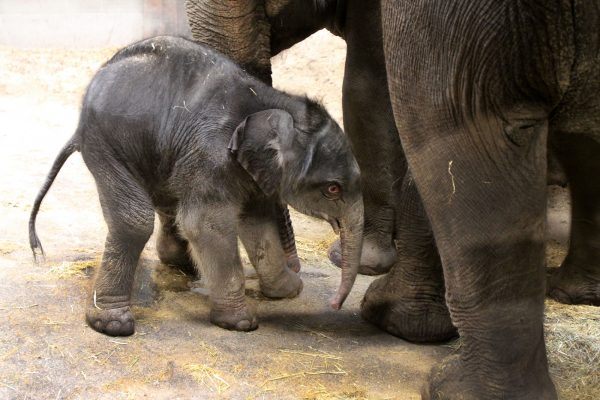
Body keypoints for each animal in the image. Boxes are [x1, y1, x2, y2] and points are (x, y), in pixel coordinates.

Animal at [30, 36, 364, 336]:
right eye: (333, 189)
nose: (335, 305)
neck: (272, 102)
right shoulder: (211, 155)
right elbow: (206, 224)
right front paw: (241, 323)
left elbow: (257, 223)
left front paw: (289, 291)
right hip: (107, 145)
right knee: (134, 220)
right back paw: (112, 324)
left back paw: (181, 265)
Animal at [184, 0, 600, 398]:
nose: (296, 279)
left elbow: (370, 94)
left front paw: (369, 275)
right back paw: (573, 293)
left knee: (457, 126)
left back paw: (450, 381)